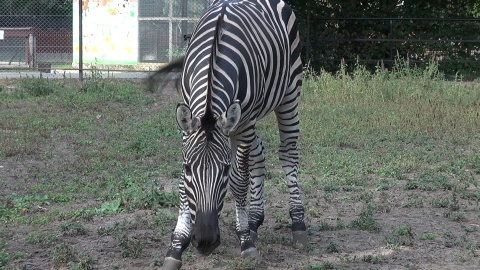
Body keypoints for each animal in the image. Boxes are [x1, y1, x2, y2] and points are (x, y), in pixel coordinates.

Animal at [148, 1, 308, 268]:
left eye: (223, 170)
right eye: (188, 168)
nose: (204, 242)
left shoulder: (244, 123)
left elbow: (239, 181)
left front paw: (246, 243)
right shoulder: (189, 126)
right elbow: (181, 185)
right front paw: (177, 245)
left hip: (288, 93)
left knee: (288, 153)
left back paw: (297, 223)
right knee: (259, 152)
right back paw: (254, 221)